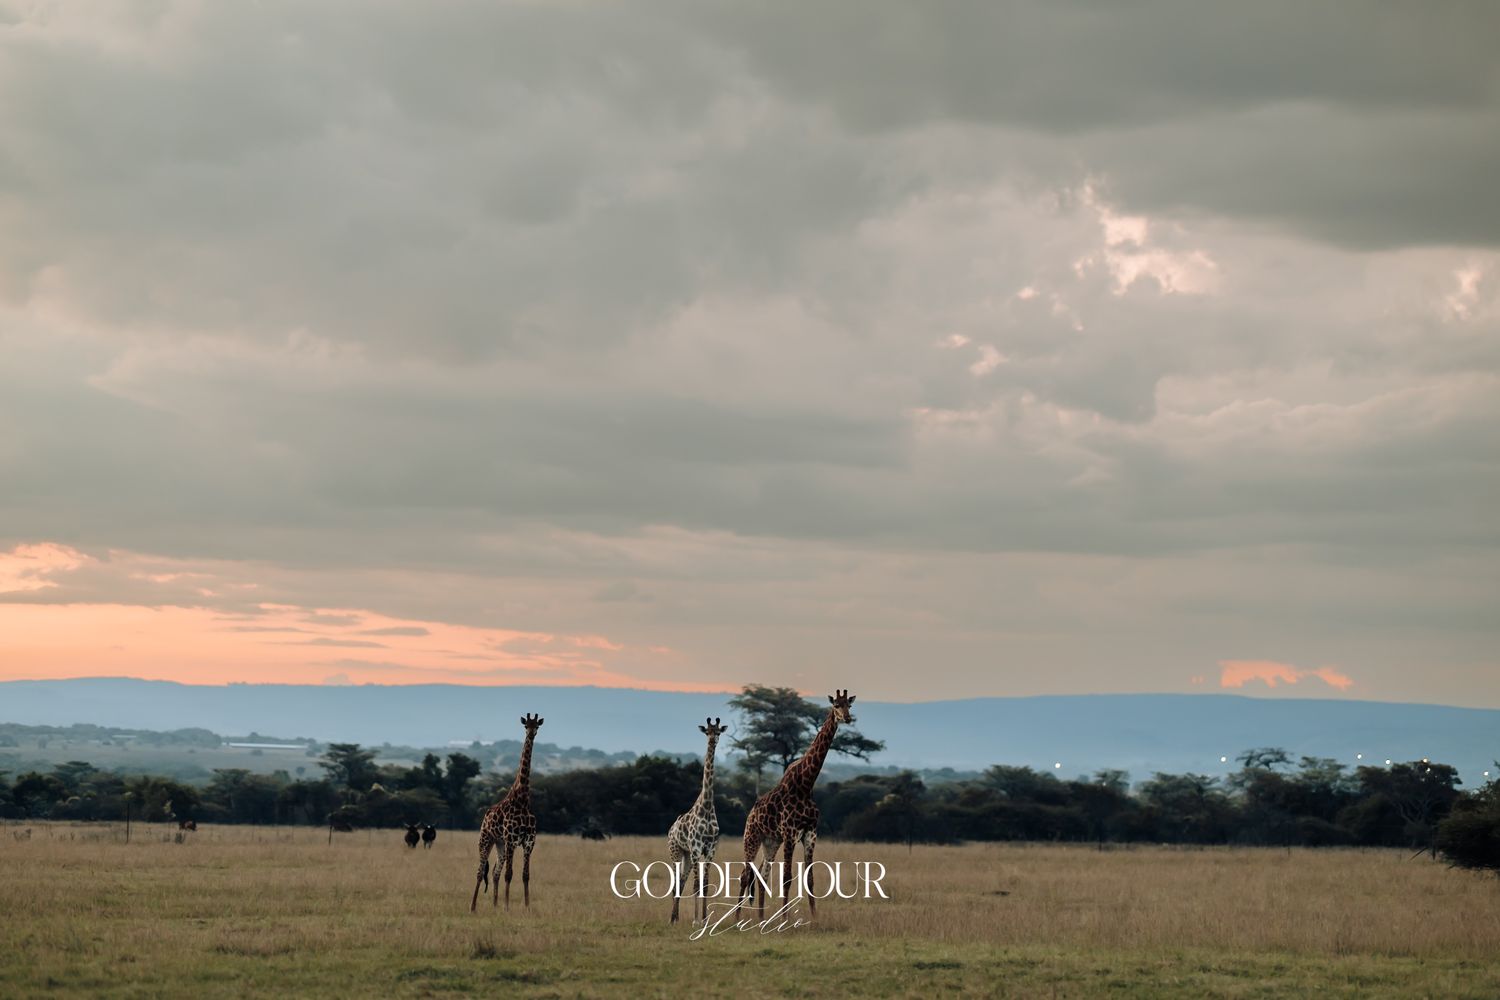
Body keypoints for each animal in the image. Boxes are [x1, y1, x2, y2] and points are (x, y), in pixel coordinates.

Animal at [470, 713, 544, 912]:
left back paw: (495, 906)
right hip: (486, 840)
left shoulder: (529, 841)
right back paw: (473, 907)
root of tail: (485, 816)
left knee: (495, 871)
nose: (531, 733)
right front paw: (507, 906)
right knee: (480, 871)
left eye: (537, 726)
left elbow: (525, 874)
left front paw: (527, 907)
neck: (523, 799)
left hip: (499, 844)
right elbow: (509, 874)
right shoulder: (511, 839)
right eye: (525, 725)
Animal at [667, 716, 729, 925]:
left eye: (718, 732)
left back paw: (676, 918)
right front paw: (696, 921)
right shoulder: (696, 849)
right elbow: (696, 885)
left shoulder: (710, 849)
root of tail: (671, 829)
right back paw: (672, 919)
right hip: (676, 852)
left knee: (681, 882)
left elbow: (705, 885)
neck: (707, 807)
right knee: (676, 883)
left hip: (686, 855)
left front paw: (705, 919)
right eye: (707, 732)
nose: (712, 741)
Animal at [737, 689, 856, 919]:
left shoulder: (810, 833)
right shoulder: (790, 833)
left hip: (771, 841)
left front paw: (814, 918)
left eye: (850, 705)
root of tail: (750, 814)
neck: (806, 783)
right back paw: (736, 918)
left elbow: (809, 878)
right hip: (752, 837)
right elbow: (787, 877)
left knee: (762, 875)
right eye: (836, 705)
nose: (847, 718)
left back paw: (761, 918)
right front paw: (785, 918)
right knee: (745, 874)